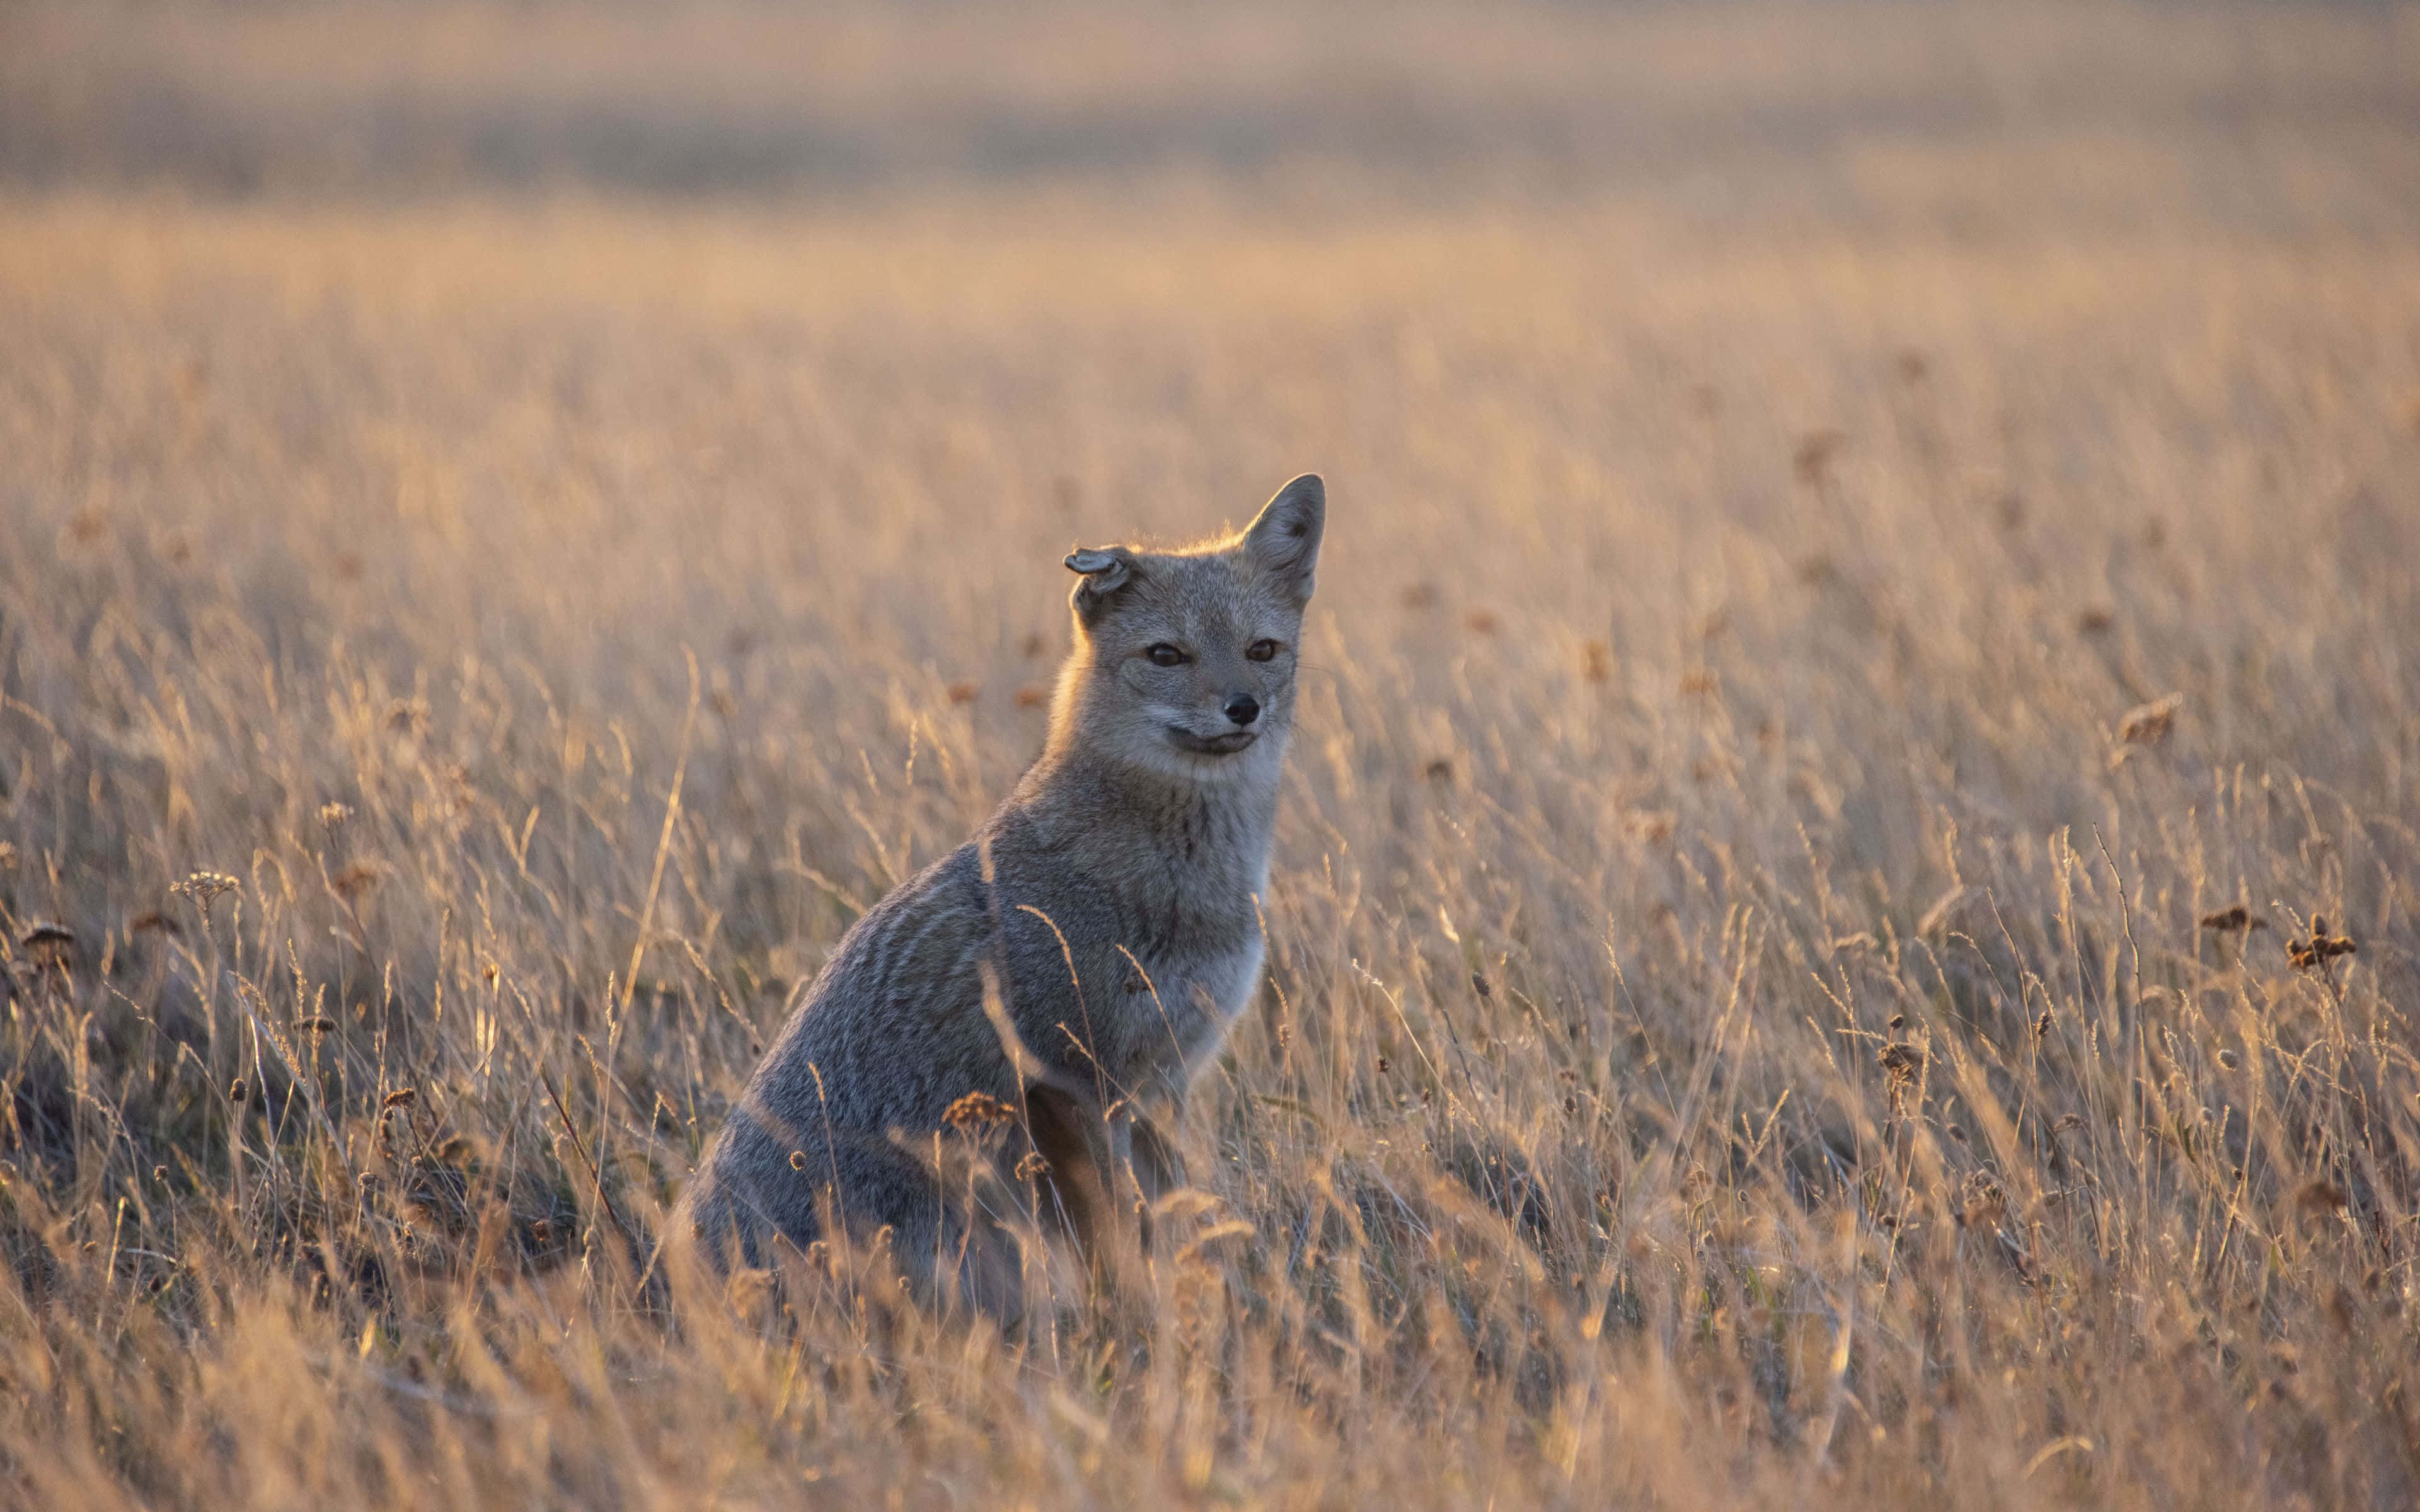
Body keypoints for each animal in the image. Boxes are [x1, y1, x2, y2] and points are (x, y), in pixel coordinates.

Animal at [675, 474, 1324, 1311]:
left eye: (1262, 651)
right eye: (1166, 655)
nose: (1243, 707)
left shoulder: (1165, 1082)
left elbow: (1174, 1221)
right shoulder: (1079, 1083)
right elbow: (1122, 1237)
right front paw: (1139, 1317)